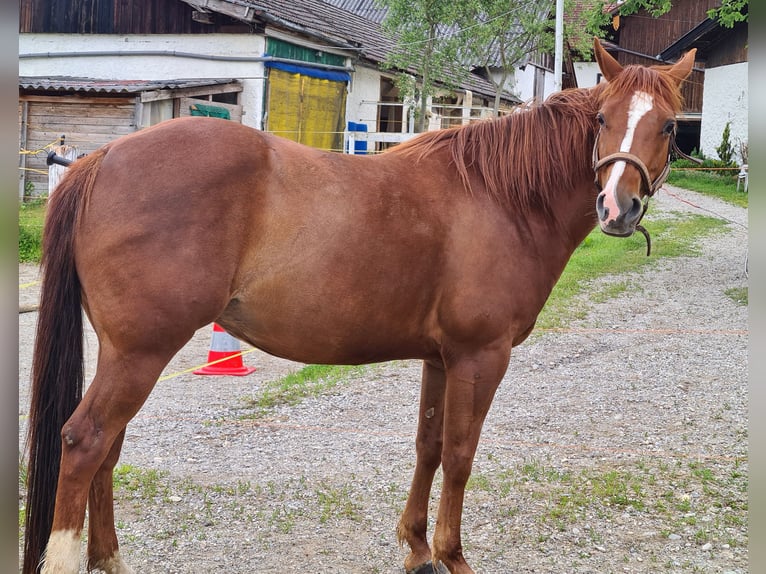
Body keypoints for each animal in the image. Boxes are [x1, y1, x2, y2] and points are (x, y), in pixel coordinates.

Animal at [22, 39, 695, 574]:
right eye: (603, 118)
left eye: (667, 126)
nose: (617, 207)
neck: (500, 197)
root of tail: (102, 158)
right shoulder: (480, 357)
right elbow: (460, 454)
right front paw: (451, 555)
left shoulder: (441, 359)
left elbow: (428, 445)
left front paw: (418, 549)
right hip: (140, 353)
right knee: (85, 442)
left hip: (127, 354)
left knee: (108, 449)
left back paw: (111, 558)